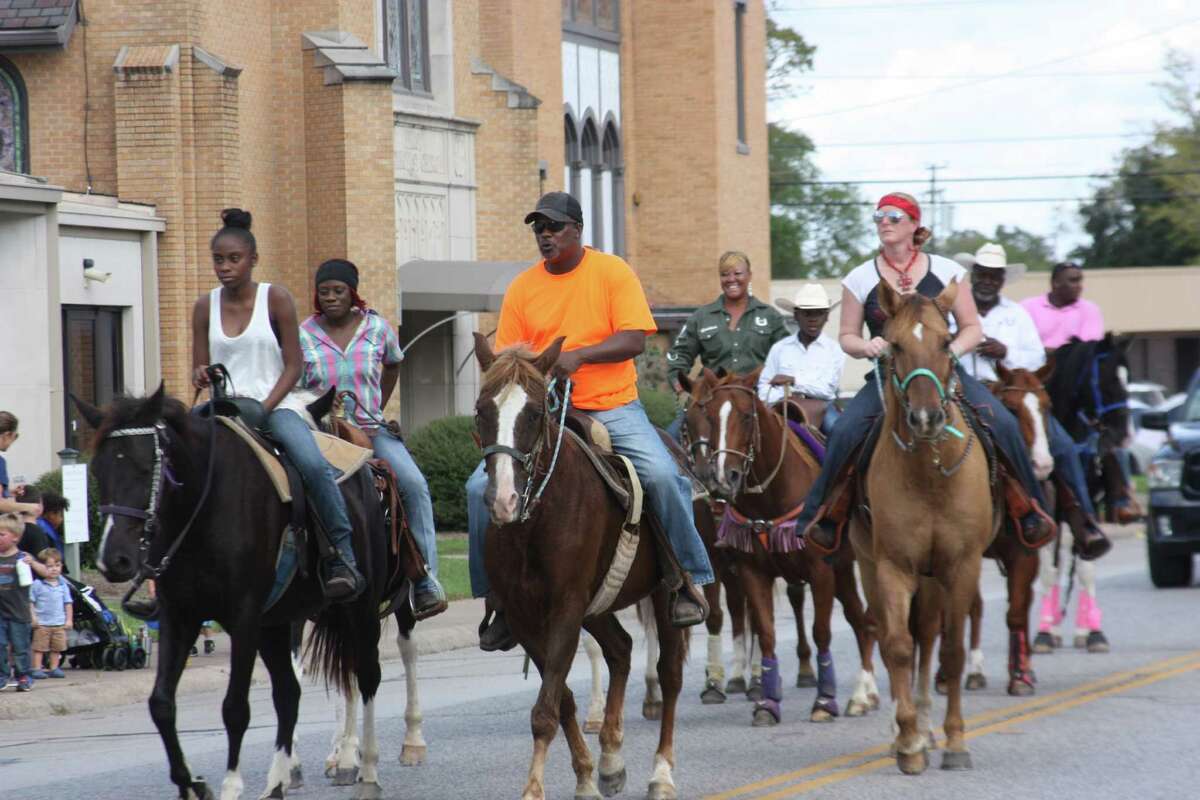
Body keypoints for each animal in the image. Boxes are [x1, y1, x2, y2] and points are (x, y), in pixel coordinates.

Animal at [76, 383, 403, 796]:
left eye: (146, 466)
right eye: (98, 470)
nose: (113, 560)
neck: (203, 506)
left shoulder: (244, 616)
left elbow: (235, 708)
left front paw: (230, 786)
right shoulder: (179, 617)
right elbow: (161, 703)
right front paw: (191, 783)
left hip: (359, 608)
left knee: (366, 676)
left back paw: (368, 772)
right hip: (277, 623)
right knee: (289, 693)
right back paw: (277, 783)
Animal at [472, 335, 691, 800]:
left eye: (534, 413)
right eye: (482, 411)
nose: (502, 501)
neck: (534, 521)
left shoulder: (566, 607)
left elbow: (545, 709)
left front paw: (533, 789)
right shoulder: (525, 616)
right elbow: (560, 699)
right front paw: (588, 777)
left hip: (663, 595)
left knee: (669, 674)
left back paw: (661, 774)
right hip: (599, 605)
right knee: (621, 649)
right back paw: (611, 761)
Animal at [681, 369, 878, 724]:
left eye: (747, 416)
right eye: (702, 417)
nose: (720, 478)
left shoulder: (820, 571)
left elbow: (821, 631)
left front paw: (824, 701)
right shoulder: (747, 570)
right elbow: (764, 631)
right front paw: (766, 702)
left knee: (867, 619)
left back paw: (865, 692)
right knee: (859, 619)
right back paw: (862, 695)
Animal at [849, 281, 998, 777]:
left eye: (947, 342)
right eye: (894, 345)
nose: (927, 418)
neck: (929, 472)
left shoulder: (962, 565)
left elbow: (951, 651)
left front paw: (954, 743)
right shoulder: (893, 566)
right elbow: (897, 645)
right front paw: (909, 742)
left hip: (935, 578)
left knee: (931, 638)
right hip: (873, 567)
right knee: (899, 637)